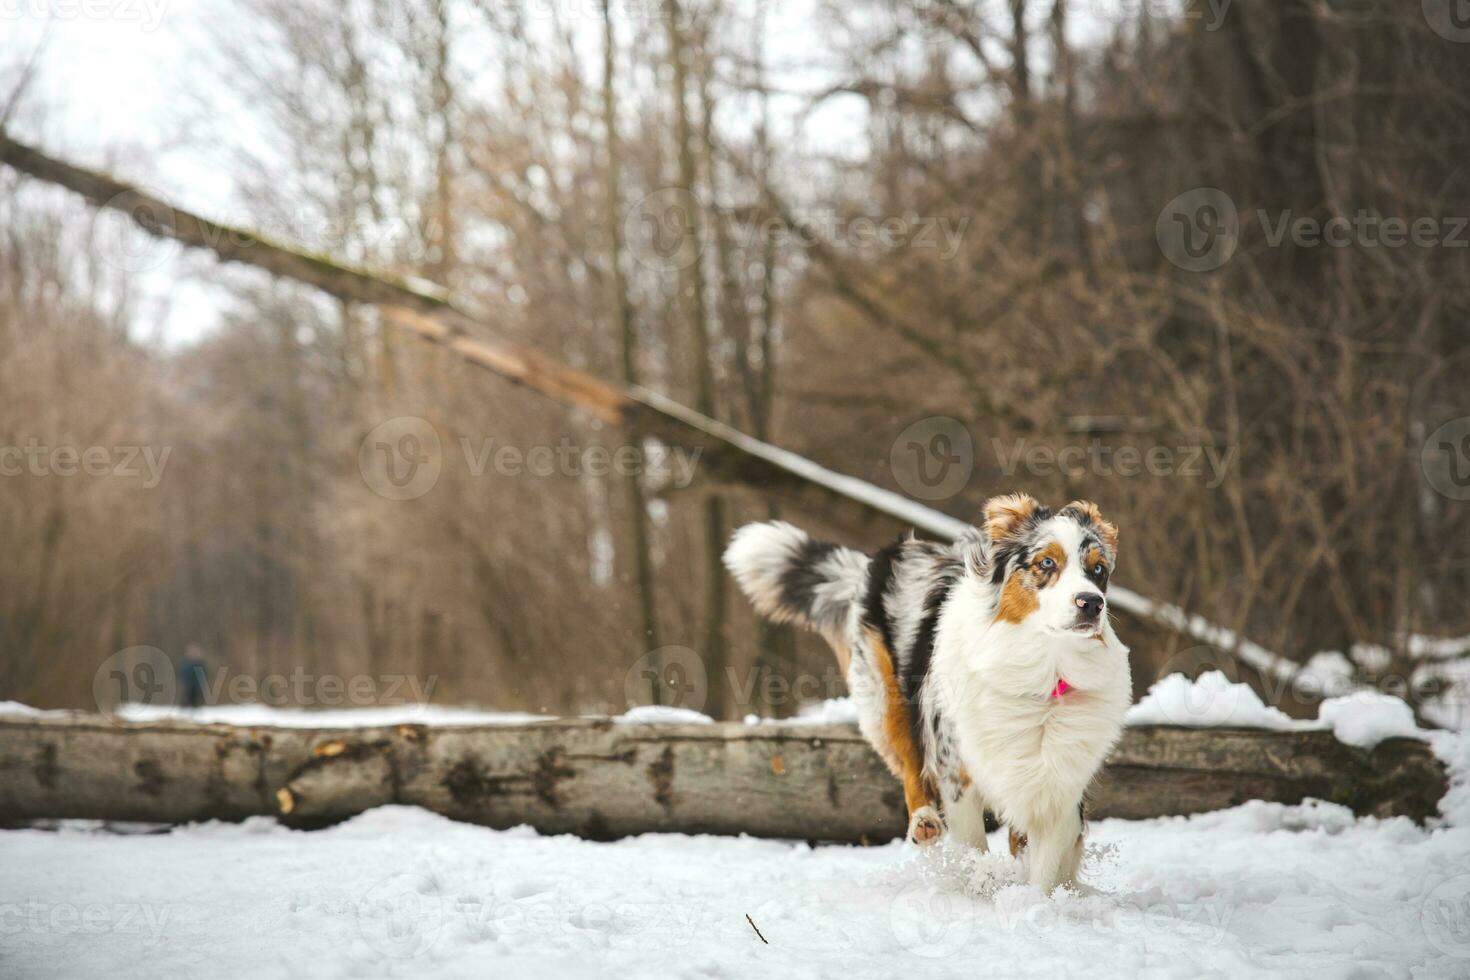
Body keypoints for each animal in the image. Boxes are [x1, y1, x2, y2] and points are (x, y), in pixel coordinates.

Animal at [729, 493, 1128, 893]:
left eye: (1098, 570)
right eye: (1047, 562)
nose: (1091, 603)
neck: (1044, 668)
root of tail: (891, 553)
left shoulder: (1059, 788)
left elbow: (1044, 869)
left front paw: (1034, 903)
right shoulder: (956, 770)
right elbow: (973, 847)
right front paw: (979, 890)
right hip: (886, 699)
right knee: (909, 763)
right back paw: (925, 822)